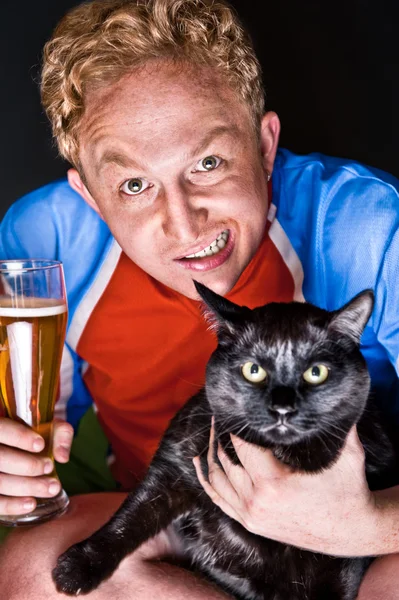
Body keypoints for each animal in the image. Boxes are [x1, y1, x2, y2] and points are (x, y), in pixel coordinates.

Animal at [54, 284, 399, 600]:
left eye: (316, 373)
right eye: (253, 370)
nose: (283, 408)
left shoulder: (340, 556)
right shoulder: (172, 468)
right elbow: (128, 519)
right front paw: (76, 567)